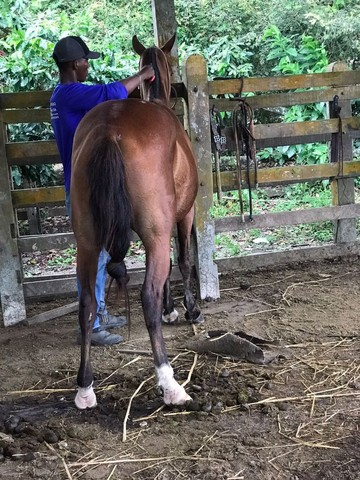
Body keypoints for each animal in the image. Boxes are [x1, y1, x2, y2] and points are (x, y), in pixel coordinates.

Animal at [71, 34, 204, 408]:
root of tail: (110, 132)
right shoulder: (183, 215)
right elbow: (183, 260)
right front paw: (186, 309)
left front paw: (172, 308)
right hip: (154, 233)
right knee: (147, 295)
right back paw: (170, 383)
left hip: (87, 241)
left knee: (87, 303)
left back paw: (85, 388)